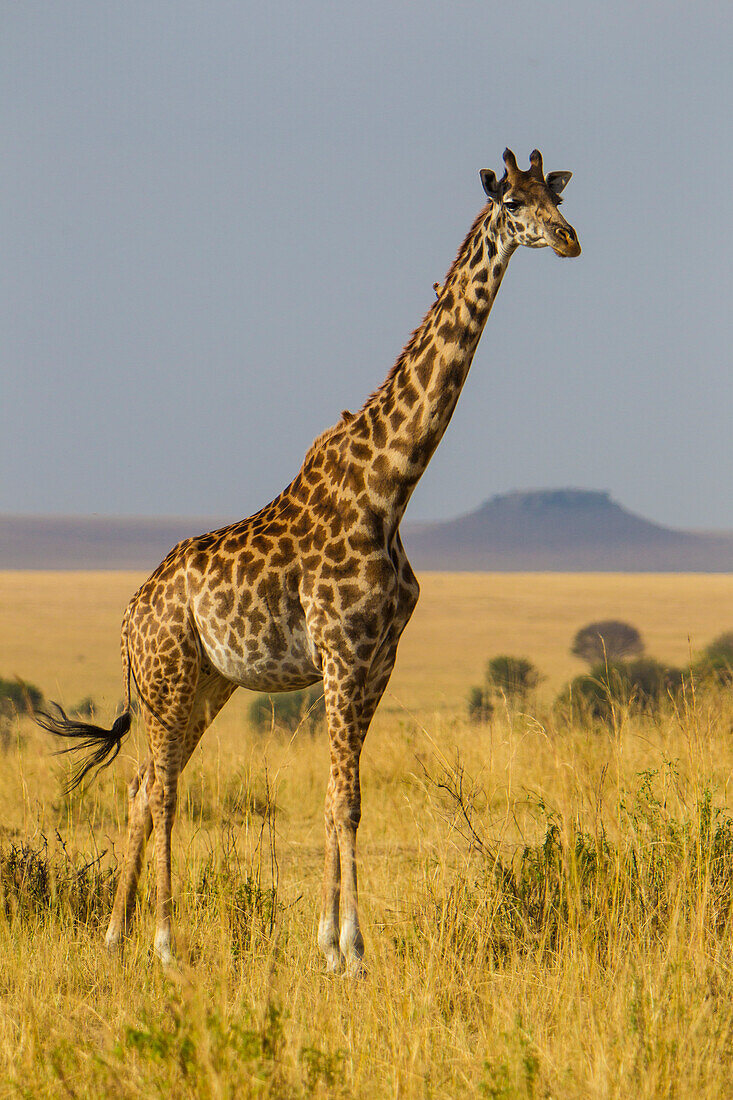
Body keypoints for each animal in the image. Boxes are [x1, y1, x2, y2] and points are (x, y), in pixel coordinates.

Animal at [38, 146, 576, 972]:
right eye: (513, 202)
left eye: (559, 196)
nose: (570, 239)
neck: (392, 487)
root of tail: (129, 614)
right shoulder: (342, 652)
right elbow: (343, 800)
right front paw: (351, 948)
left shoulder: (376, 659)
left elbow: (336, 799)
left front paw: (328, 943)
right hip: (167, 677)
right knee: (160, 789)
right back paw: (163, 941)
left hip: (205, 684)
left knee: (140, 784)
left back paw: (117, 935)